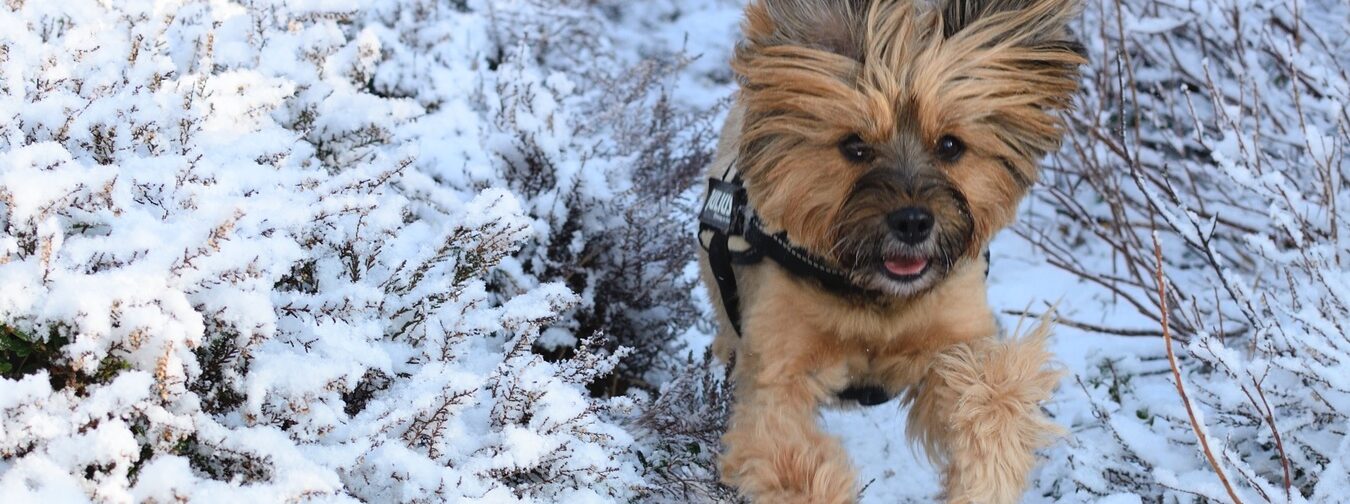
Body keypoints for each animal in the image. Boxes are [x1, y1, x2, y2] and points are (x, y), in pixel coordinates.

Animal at [696, 1, 1085, 499]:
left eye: (951, 145)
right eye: (855, 146)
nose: (913, 222)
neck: (875, 297)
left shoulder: (954, 338)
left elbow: (991, 396)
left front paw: (980, 483)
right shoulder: (777, 371)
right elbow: (789, 455)